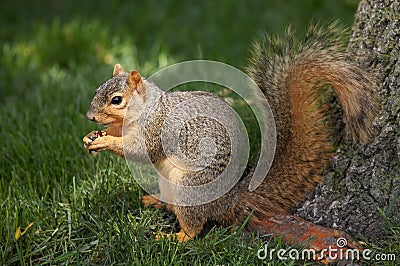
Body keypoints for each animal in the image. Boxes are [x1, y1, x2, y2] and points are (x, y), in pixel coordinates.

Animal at [83, 22, 376, 243]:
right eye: (97, 89)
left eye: (117, 100)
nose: (89, 116)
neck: (143, 111)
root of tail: (229, 201)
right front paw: (92, 136)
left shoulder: (158, 127)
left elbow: (141, 151)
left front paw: (105, 141)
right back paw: (156, 201)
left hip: (190, 188)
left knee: (194, 225)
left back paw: (175, 238)